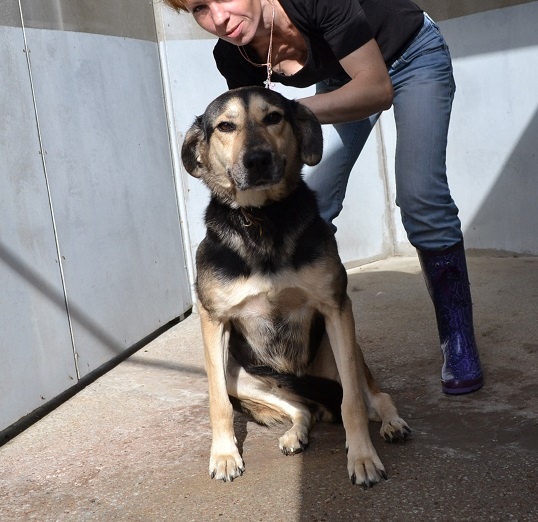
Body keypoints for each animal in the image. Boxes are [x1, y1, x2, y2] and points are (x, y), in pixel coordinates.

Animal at [181, 86, 411, 487]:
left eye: (273, 117)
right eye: (225, 126)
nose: (257, 160)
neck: (261, 220)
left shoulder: (336, 307)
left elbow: (352, 402)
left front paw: (363, 457)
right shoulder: (213, 320)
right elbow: (217, 402)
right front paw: (224, 455)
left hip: (343, 353)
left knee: (376, 396)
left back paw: (392, 424)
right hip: (239, 374)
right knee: (300, 408)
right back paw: (296, 433)